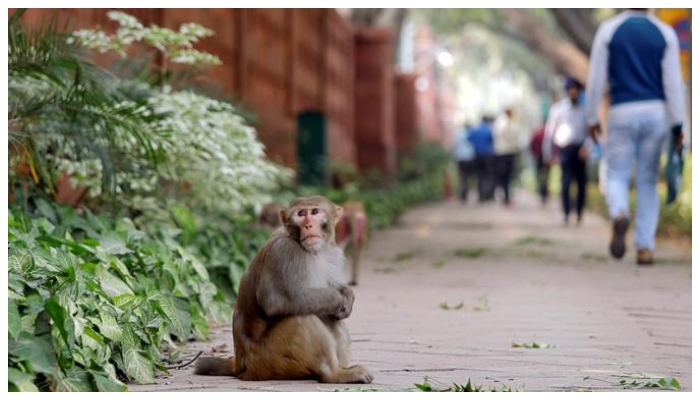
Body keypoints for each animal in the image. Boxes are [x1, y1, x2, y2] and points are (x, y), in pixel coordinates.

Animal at [193, 195, 372, 382]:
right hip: (268, 361)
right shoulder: (284, 252)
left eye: (315, 211)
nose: (308, 225)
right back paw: (334, 374)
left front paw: (347, 295)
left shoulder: (332, 253)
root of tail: (238, 365)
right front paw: (338, 299)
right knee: (301, 318)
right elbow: (277, 301)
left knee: (332, 321)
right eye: (301, 214)